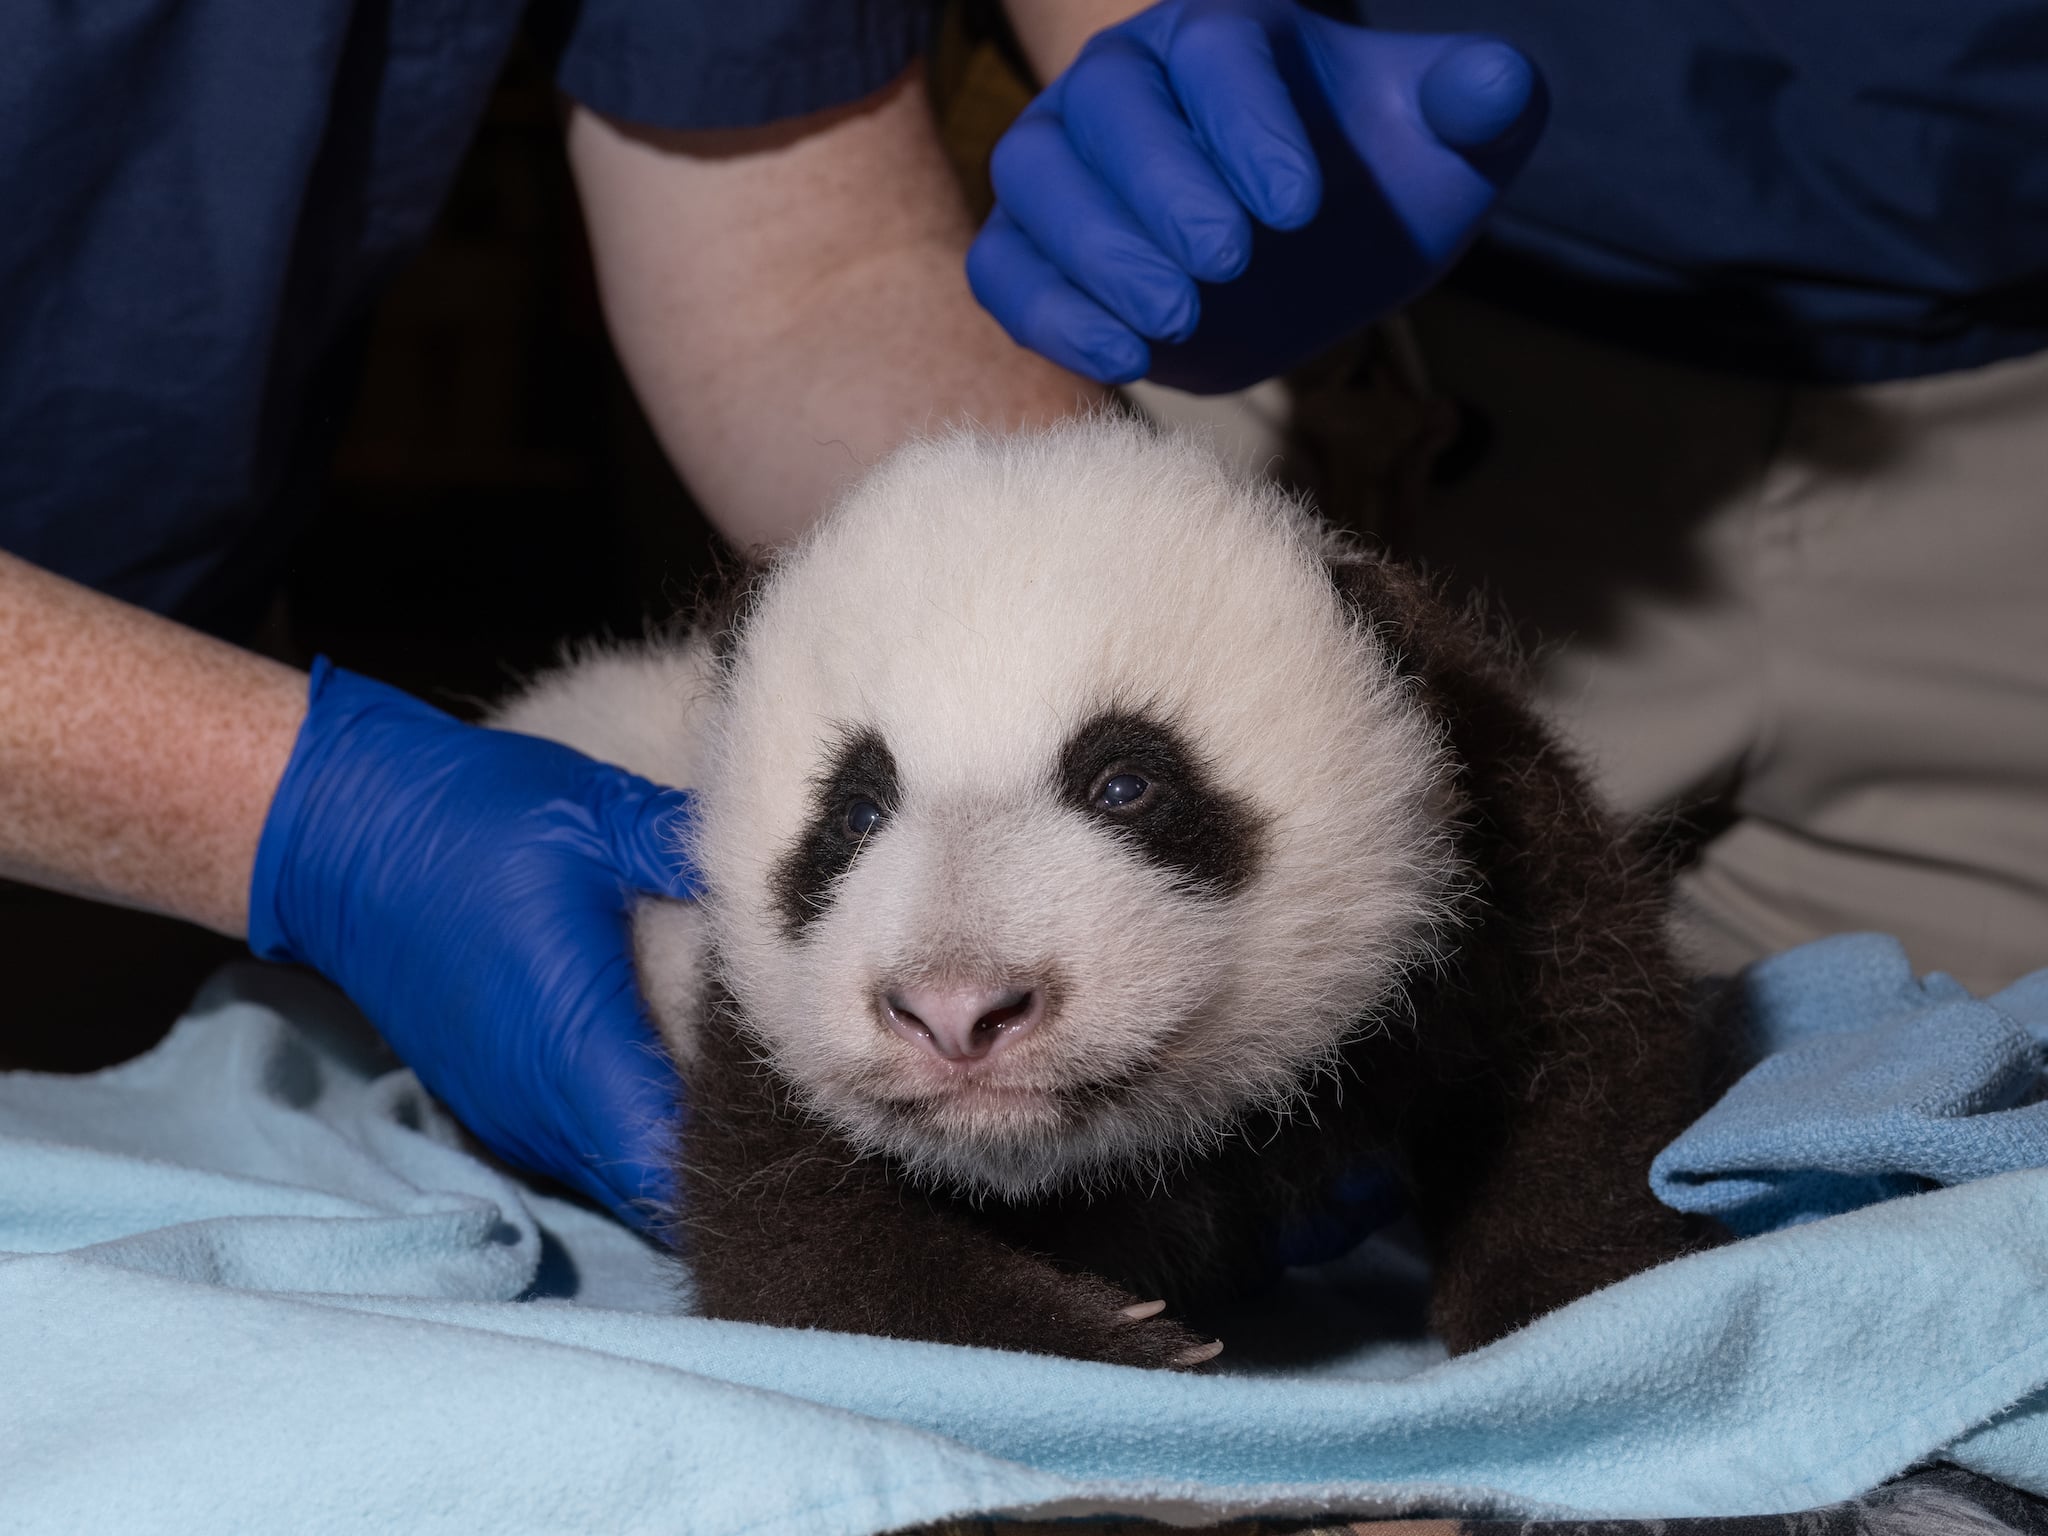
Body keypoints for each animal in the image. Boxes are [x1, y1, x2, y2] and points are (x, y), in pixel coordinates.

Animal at [493, 416, 1705, 1367]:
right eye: (856, 813)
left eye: (1126, 784)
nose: (957, 1013)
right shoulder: (753, 1023)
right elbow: (795, 1249)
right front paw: (1124, 1338)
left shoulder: (1484, 837)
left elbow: (1583, 1058)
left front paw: (1561, 1312)